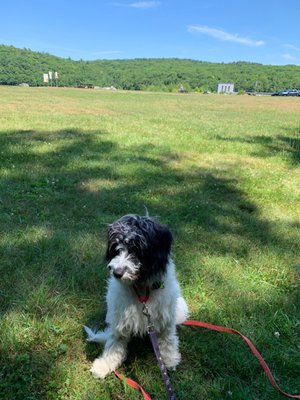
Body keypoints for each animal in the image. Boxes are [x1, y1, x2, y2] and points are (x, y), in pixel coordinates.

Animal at [84, 212, 188, 378]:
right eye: (116, 249)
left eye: (136, 250)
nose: (117, 272)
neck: (141, 288)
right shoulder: (119, 319)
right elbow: (114, 344)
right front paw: (105, 365)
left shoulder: (165, 318)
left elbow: (168, 339)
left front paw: (170, 359)